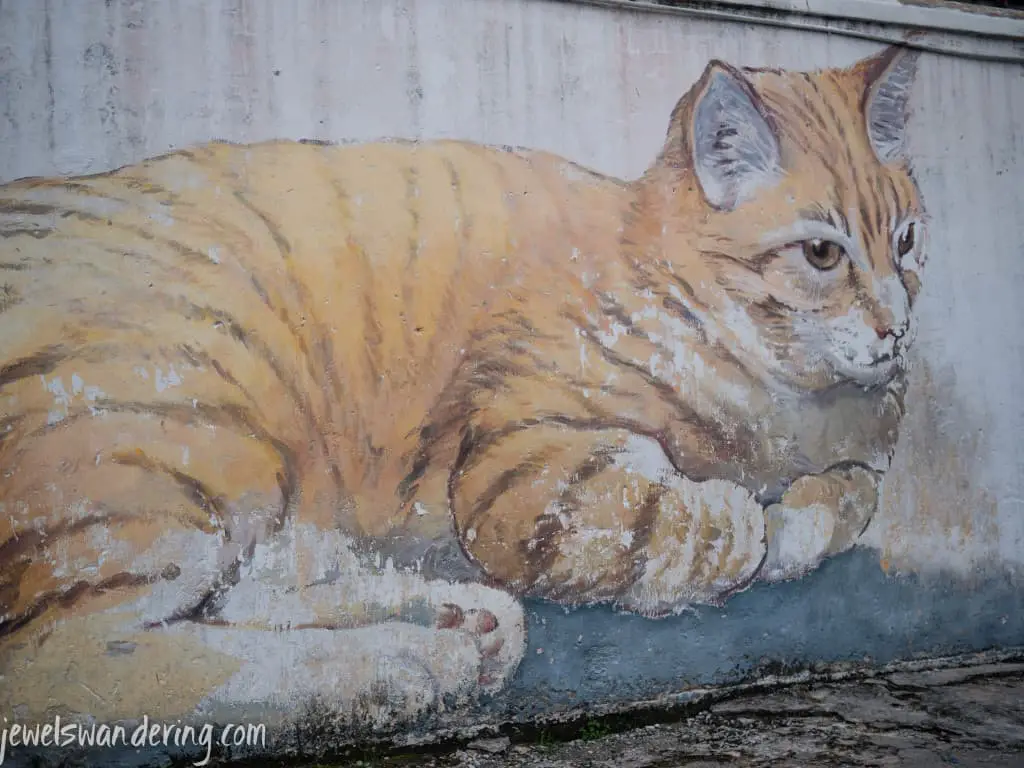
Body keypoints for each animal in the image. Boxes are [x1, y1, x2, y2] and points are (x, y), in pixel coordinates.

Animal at [0, 46, 929, 729]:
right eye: (823, 254)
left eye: (909, 243)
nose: (897, 328)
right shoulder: (525, 473)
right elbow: (701, 522)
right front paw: (760, 524)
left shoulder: (862, 458)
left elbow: (846, 499)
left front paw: (805, 509)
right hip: (191, 418)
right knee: (79, 666)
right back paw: (408, 660)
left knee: (250, 591)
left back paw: (449, 622)